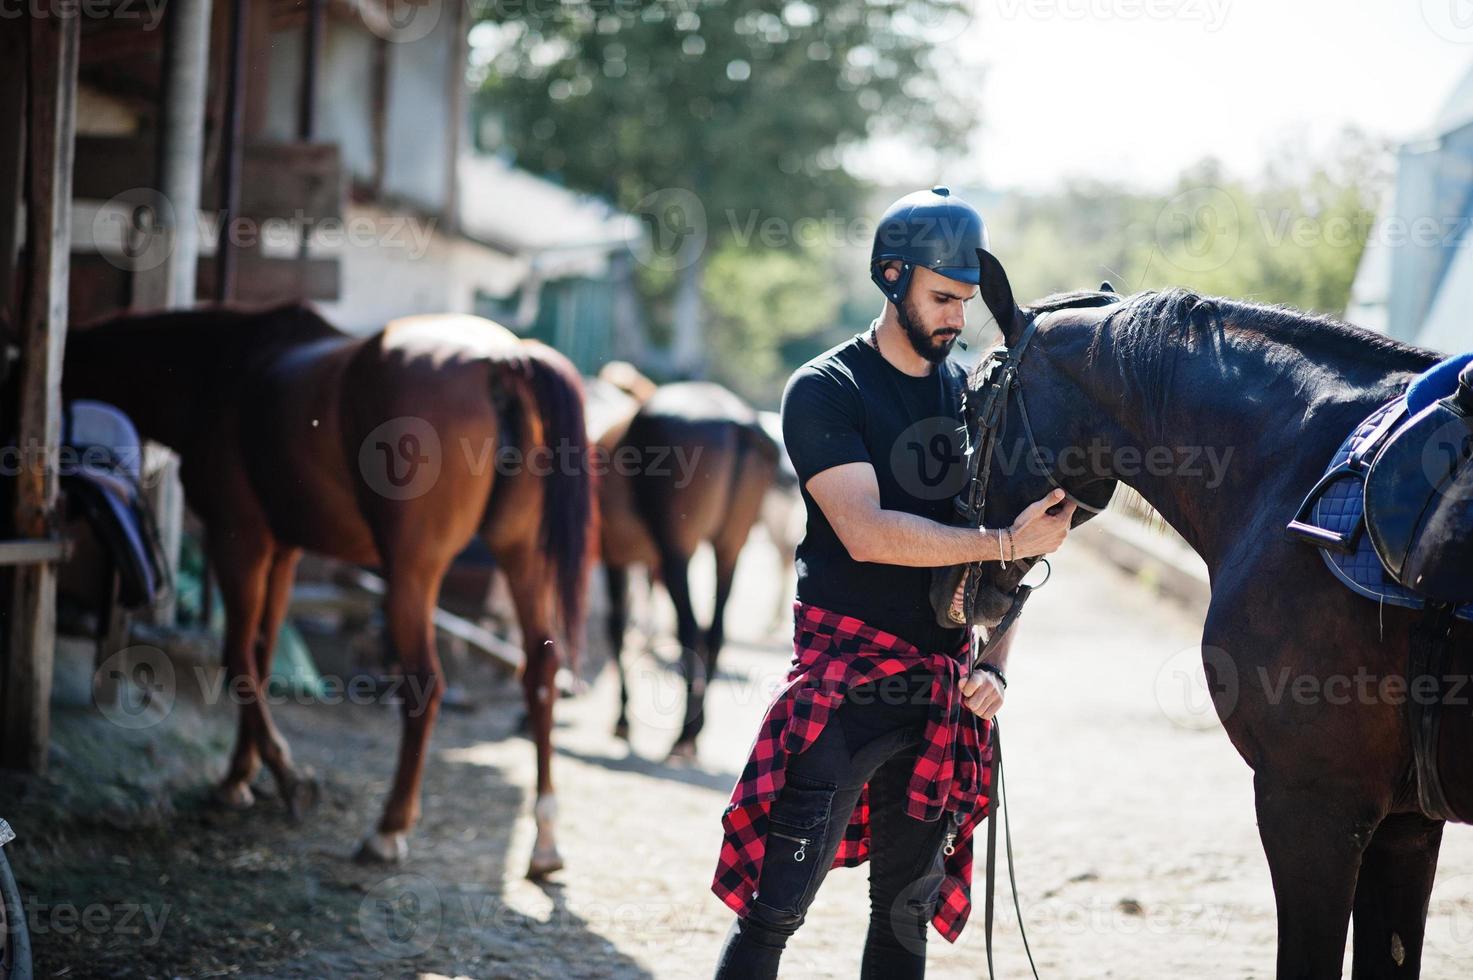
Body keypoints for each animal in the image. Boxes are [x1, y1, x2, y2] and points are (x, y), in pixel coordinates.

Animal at [61, 306, 592, 872]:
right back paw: (544, 837)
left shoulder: (238, 541)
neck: (220, 371)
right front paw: (241, 774)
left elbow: (237, 657)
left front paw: (282, 776)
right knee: (540, 671)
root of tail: (503, 358)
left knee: (425, 683)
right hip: (522, 556)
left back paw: (387, 830)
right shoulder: (283, 551)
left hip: (412, 572)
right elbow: (262, 656)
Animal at [598, 380, 783, 754]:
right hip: (730, 547)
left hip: (676, 552)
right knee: (714, 633)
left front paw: (622, 717)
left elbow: (615, 628)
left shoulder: (613, 559)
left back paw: (683, 733)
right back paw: (696, 728)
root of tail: (737, 422)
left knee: (689, 631)